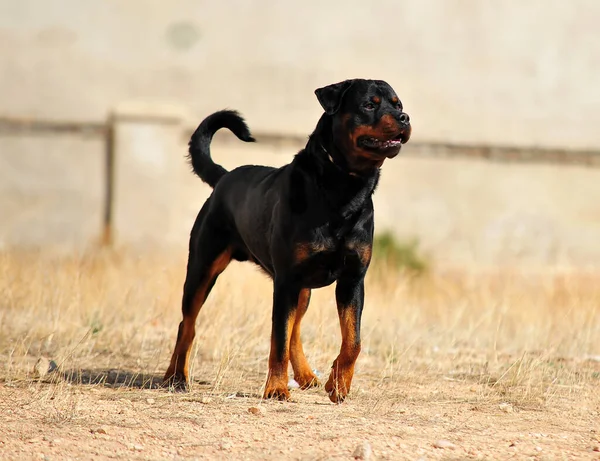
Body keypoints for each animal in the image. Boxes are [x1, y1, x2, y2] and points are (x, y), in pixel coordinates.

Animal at [162, 79, 410, 402]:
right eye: (369, 104)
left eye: (398, 104)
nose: (404, 118)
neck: (343, 188)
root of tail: (223, 178)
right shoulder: (286, 280)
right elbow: (277, 339)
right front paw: (277, 388)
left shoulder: (352, 279)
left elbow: (352, 340)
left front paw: (338, 384)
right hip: (203, 268)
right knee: (187, 323)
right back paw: (176, 376)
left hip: (301, 290)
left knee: (295, 331)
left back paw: (306, 376)